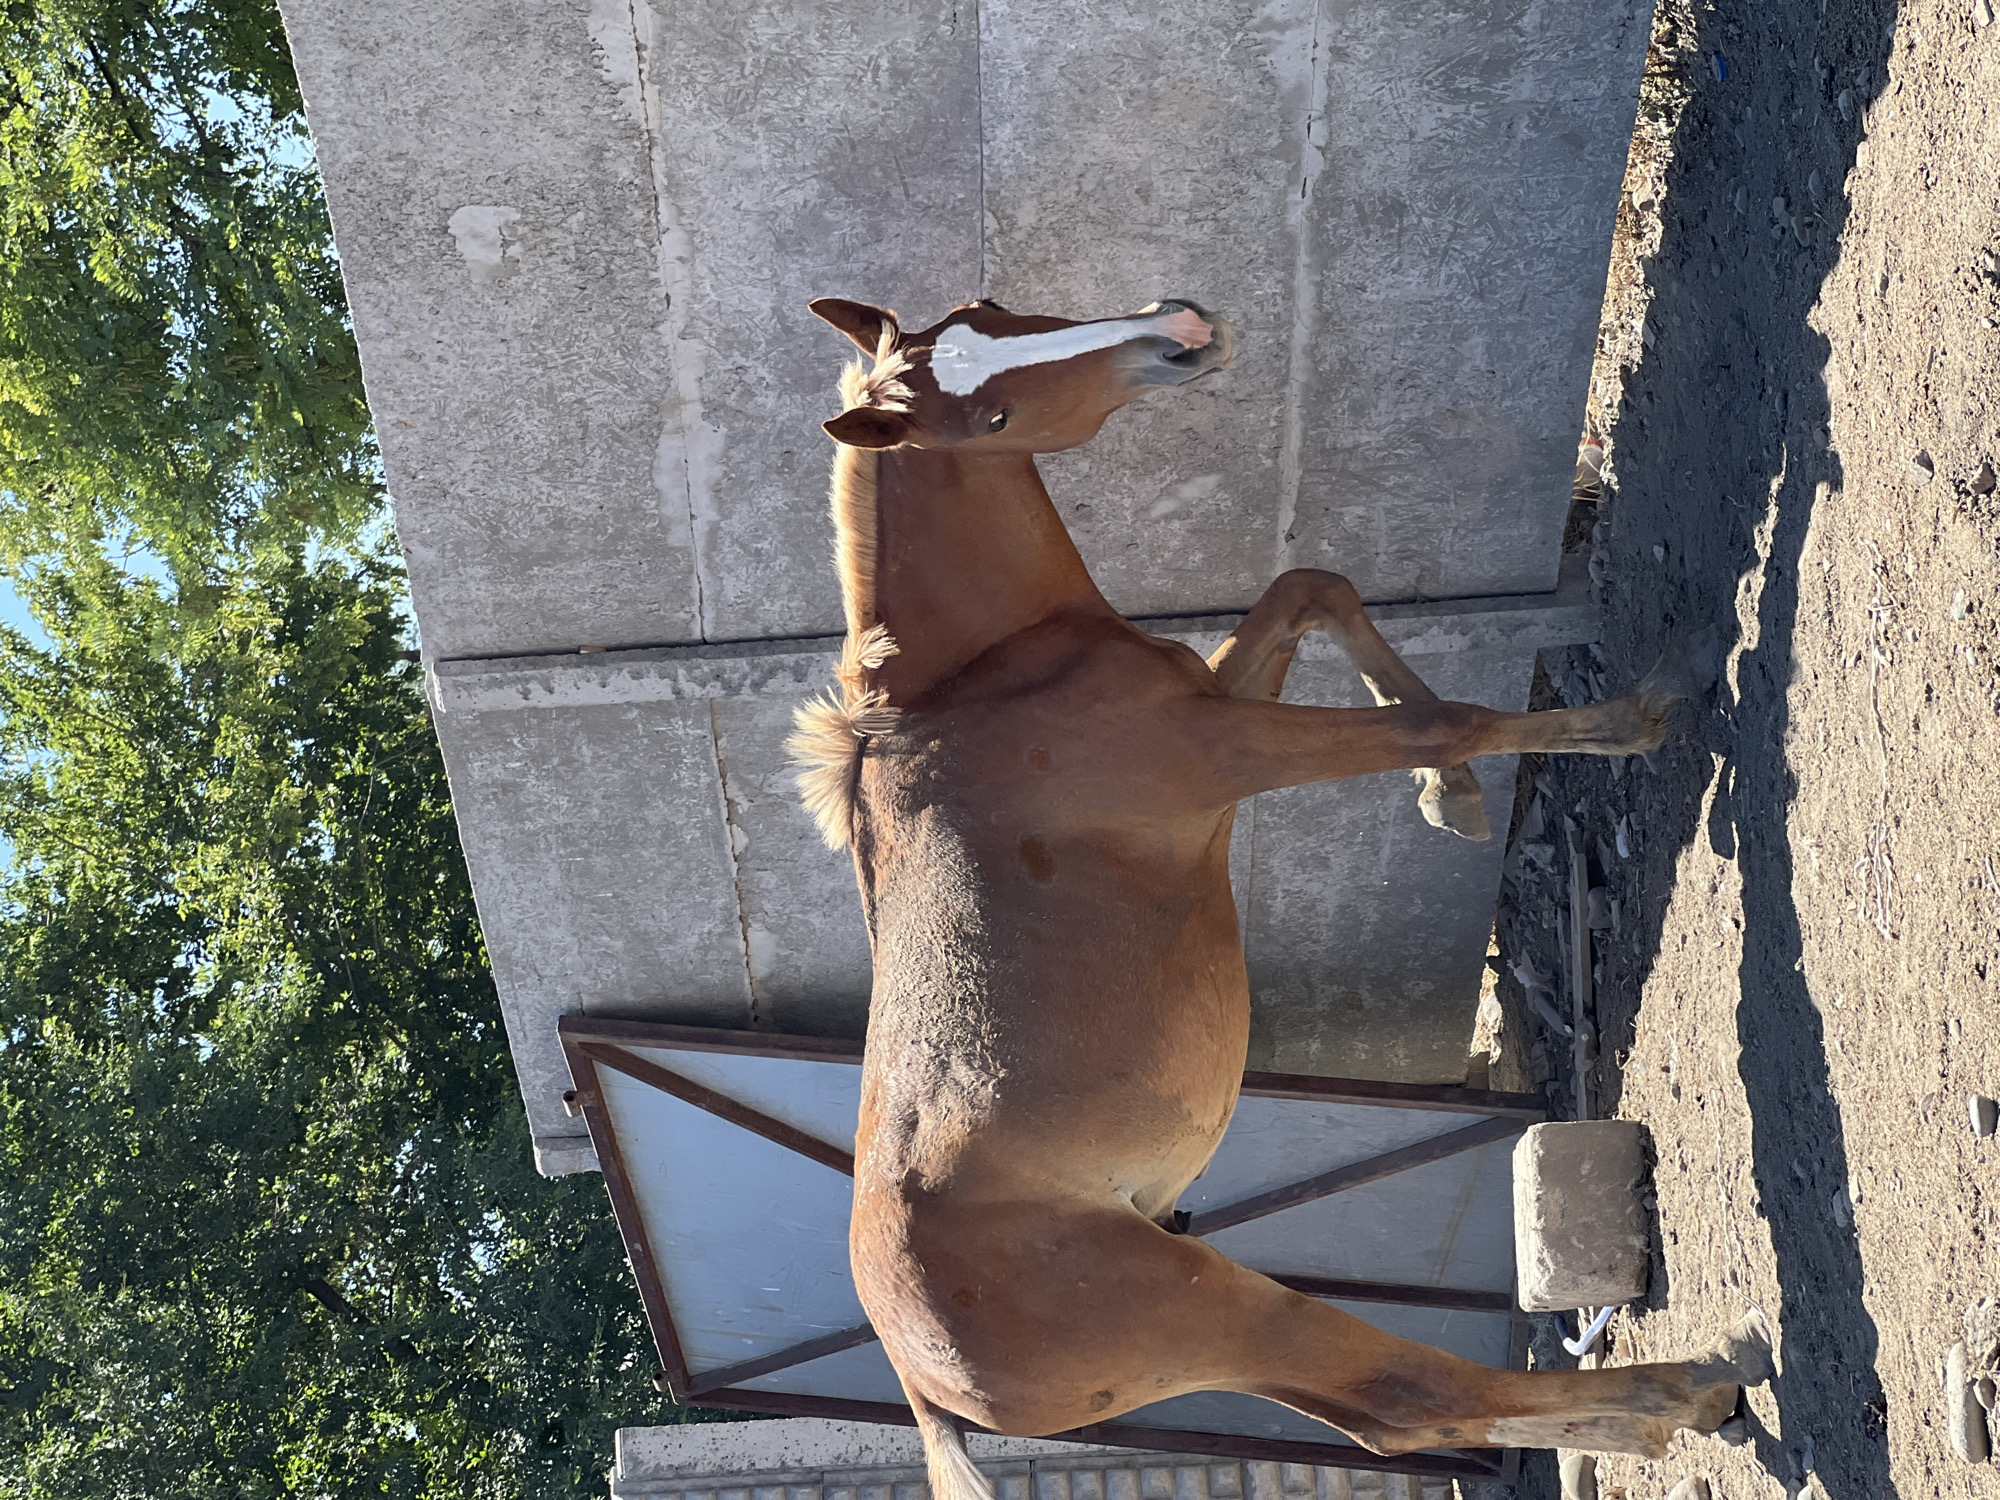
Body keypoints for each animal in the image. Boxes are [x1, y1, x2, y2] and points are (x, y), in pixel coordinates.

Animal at [789, 294, 1768, 1499]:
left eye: (991, 313)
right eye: (990, 417)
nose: (1177, 330)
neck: (981, 684)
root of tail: (918, 1383)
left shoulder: (1219, 701)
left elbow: (1314, 590)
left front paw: (1451, 800)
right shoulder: (1228, 752)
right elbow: (1437, 718)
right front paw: (1635, 711)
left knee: (1388, 1420)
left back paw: (1660, 1415)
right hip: (1225, 1312)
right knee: (1419, 1397)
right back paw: (1693, 1386)